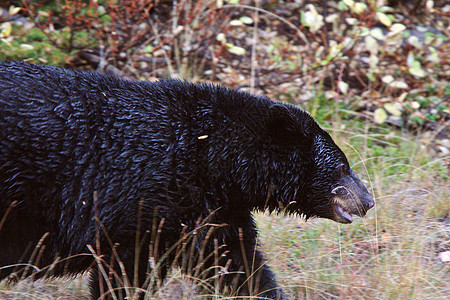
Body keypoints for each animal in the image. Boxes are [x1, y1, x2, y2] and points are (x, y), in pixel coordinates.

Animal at [0, 61, 372, 300]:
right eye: (342, 166)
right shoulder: (137, 197)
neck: (211, 156)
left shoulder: (208, 209)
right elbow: (124, 271)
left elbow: (235, 263)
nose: (368, 200)